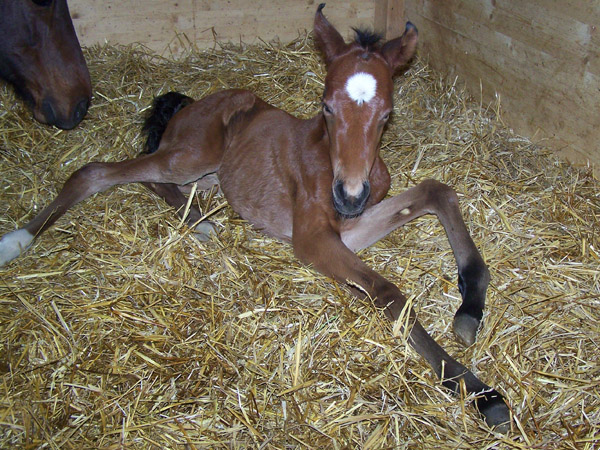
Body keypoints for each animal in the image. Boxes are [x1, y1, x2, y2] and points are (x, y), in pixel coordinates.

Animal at [0, 4, 510, 432]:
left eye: (387, 113)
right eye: (326, 106)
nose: (349, 195)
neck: (329, 162)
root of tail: (188, 104)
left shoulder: (351, 228)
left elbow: (437, 191)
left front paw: (469, 306)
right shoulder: (313, 239)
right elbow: (388, 293)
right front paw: (479, 392)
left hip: (207, 176)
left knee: (150, 178)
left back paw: (199, 220)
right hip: (190, 156)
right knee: (99, 172)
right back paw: (19, 239)